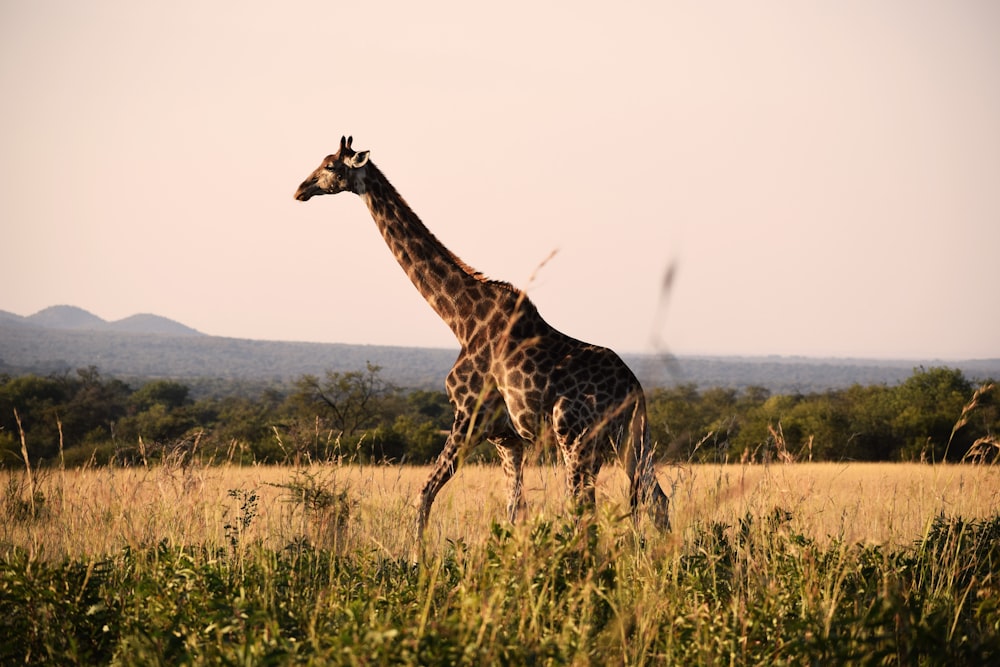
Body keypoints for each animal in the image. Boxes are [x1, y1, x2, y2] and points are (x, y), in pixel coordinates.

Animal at [296, 136, 672, 544]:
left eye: (331, 166)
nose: (301, 190)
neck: (461, 319)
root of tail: (634, 389)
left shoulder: (467, 417)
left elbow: (423, 495)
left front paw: (417, 556)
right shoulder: (507, 439)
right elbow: (513, 513)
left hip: (577, 440)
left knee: (585, 513)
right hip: (631, 441)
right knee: (656, 500)